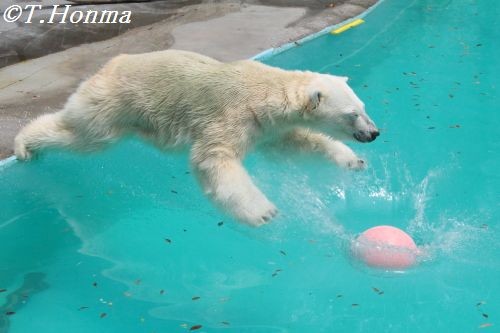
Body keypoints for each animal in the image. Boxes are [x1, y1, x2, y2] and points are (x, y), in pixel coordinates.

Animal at [14, 49, 378, 226]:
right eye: (352, 114)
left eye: (363, 107)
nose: (374, 133)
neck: (269, 91)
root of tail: (112, 62)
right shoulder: (234, 115)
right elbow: (211, 159)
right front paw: (263, 212)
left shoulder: (268, 127)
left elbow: (298, 143)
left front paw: (353, 161)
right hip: (113, 102)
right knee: (84, 135)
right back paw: (25, 145)